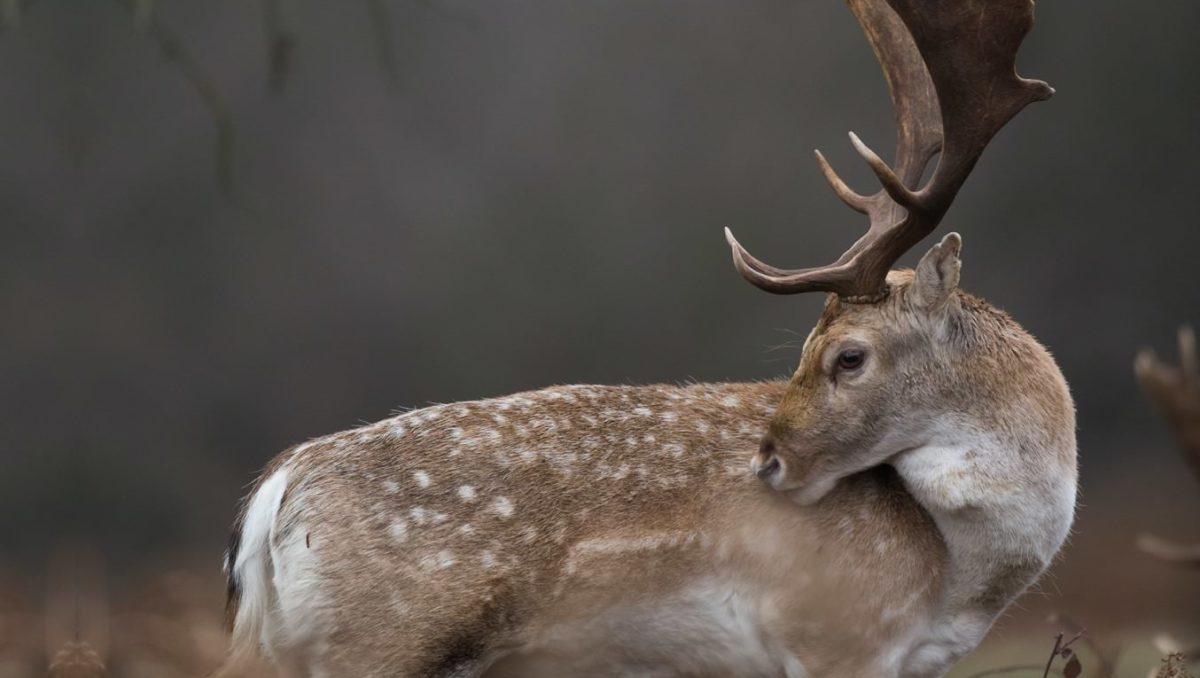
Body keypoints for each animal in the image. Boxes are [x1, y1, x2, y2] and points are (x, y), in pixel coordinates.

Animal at [223, 1, 1080, 676]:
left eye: (848, 355)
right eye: (818, 350)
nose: (769, 461)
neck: (954, 576)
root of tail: (277, 491)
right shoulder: (836, 634)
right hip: (384, 638)